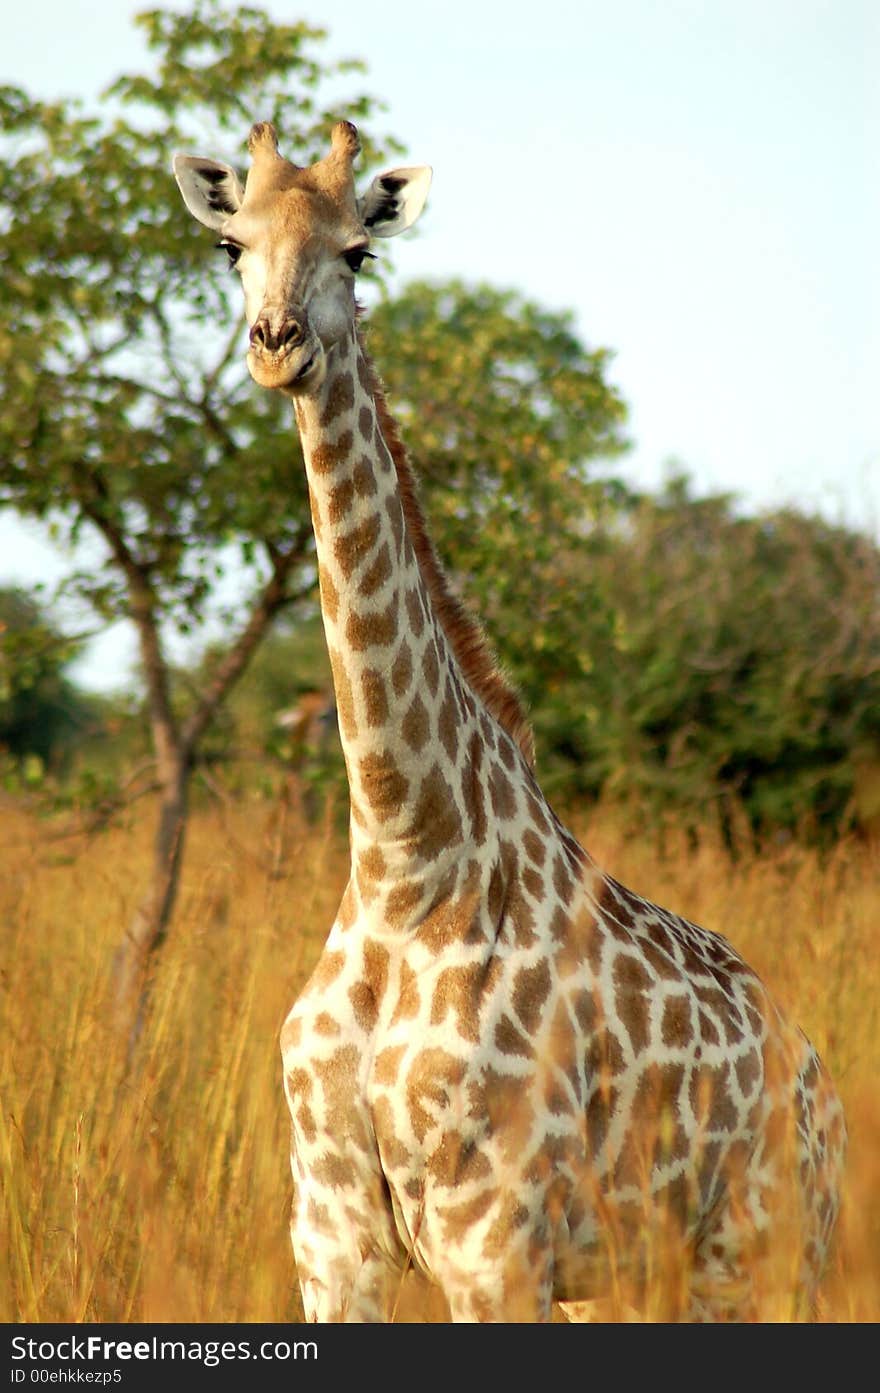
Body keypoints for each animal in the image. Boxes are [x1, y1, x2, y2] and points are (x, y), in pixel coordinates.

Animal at [173, 117, 846, 1314]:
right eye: (230, 245)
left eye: (359, 251)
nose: (277, 343)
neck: (402, 862)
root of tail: (822, 1082)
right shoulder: (332, 1236)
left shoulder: (492, 1236)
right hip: (636, 1272)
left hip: (764, 1254)